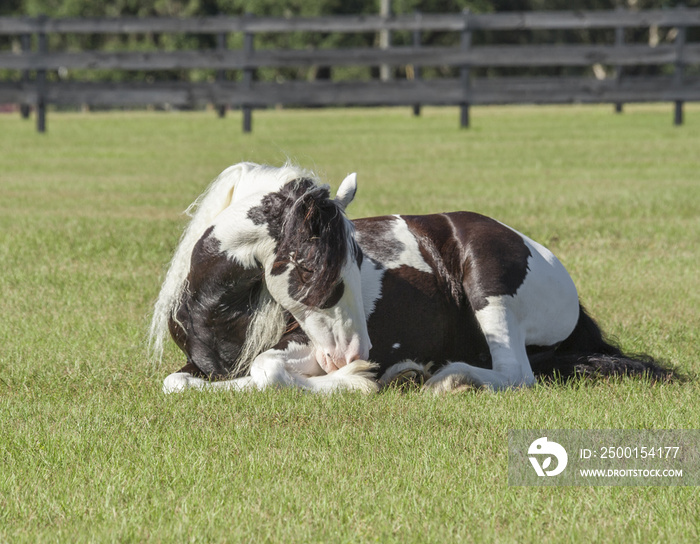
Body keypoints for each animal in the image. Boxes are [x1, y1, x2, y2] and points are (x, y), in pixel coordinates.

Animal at [149, 163, 672, 396]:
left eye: (359, 260)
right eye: (308, 265)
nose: (354, 352)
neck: (220, 317)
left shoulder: (303, 346)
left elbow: (267, 370)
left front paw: (359, 380)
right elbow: (179, 384)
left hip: (489, 287)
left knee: (516, 375)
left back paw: (443, 378)